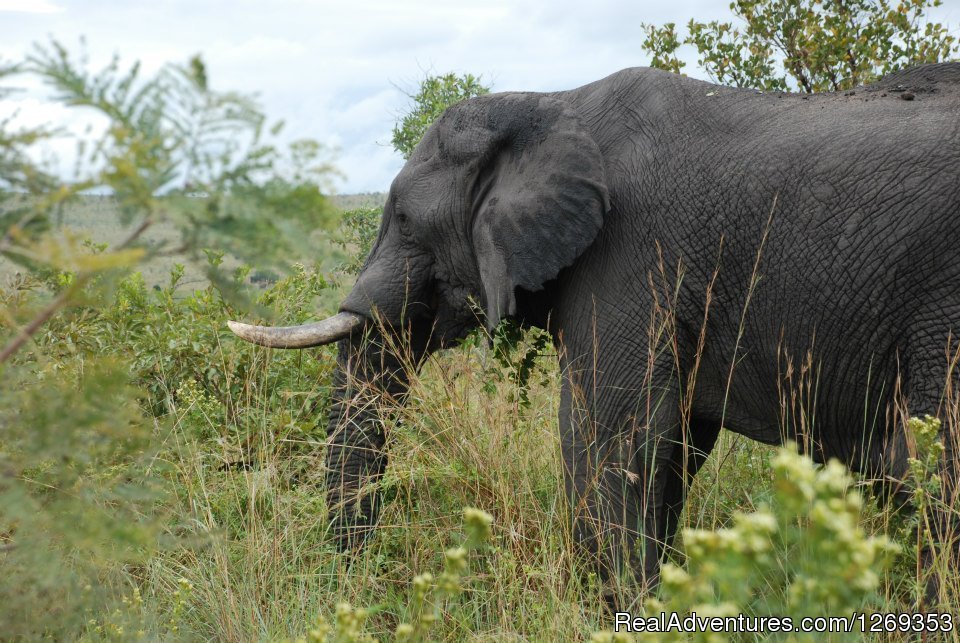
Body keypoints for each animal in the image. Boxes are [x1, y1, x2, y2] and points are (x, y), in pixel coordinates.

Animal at [227, 63, 960, 600]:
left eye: (405, 218)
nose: (358, 583)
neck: (550, 102)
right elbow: (673, 444)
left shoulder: (632, 250)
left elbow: (608, 430)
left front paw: (622, 610)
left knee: (935, 473)